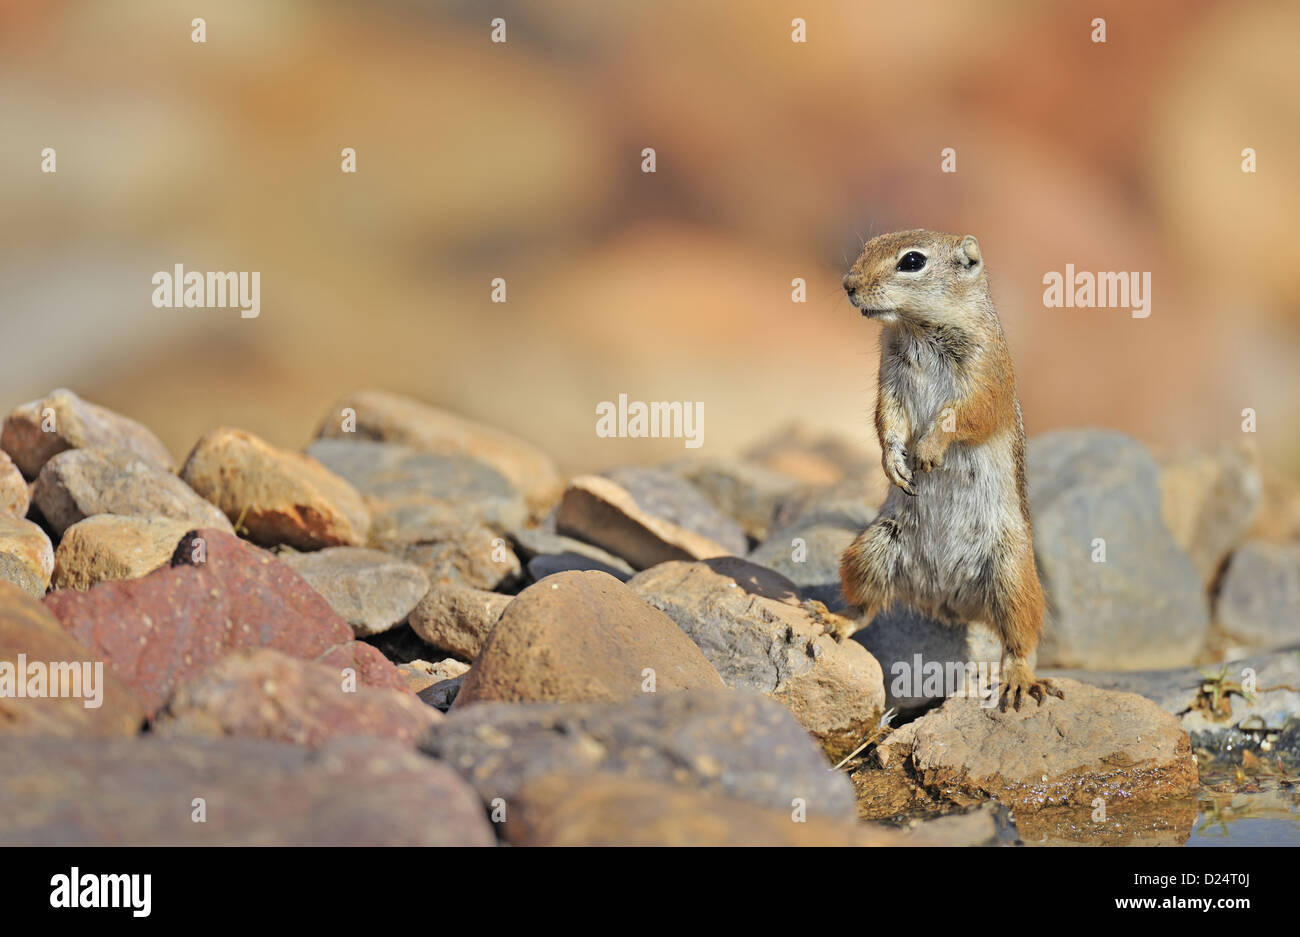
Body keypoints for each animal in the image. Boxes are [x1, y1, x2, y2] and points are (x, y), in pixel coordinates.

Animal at [835, 229, 1063, 711]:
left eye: (912, 261)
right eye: (868, 245)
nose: (848, 284)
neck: (917, 329)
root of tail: (946, 600)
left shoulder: (987, 375)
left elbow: (965, 416)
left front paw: (927, 450)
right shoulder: (889, 376)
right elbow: (887, 418)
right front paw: (894, 462)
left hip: (1012, 575)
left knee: (1019, 639)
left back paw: (1019, 680)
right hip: (872, 550)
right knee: (867, 605)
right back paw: (834, 620)